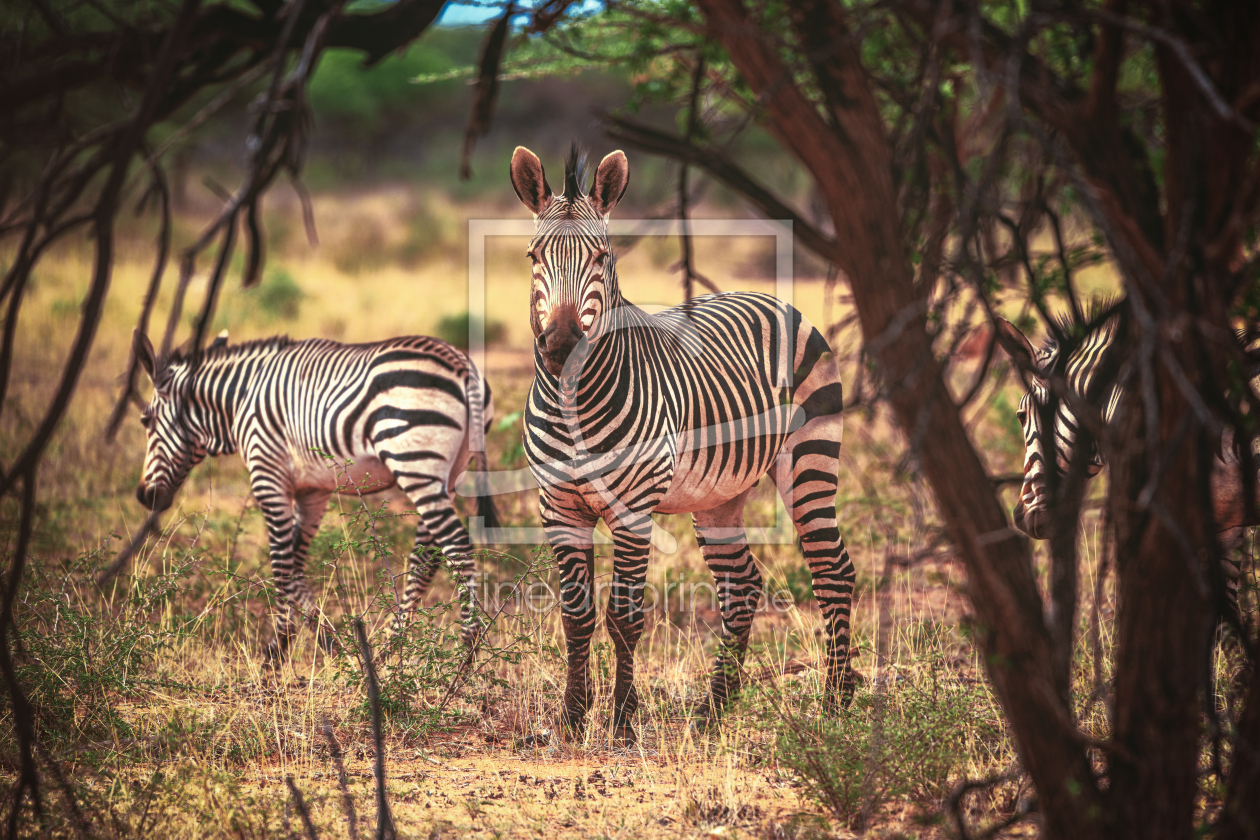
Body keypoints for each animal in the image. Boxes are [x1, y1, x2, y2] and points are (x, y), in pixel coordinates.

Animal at [131, 328, 498, 661]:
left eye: (145, 421)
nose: (144, 497)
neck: (240, 402)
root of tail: (460, 363)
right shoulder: (312, 491)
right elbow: (295, 561)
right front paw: (324, 638)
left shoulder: (268, 475)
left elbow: (280, 562)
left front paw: (282, 645)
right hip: (446, 474)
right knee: (426, 559)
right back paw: (390, 646)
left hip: (415, 463)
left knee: (458, 549)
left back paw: (465, 655)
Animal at [510, 144, 854, 741]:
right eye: (534, 256)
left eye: (602, 256)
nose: (561, 345)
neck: (573, 400)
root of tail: (774, 298)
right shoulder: (558, 506)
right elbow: (576, 615)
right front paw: (572, 719)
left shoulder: (631, 507)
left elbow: (624, 616)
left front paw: (623, 722)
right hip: (720, 495)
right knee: (742, 587)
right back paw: (715, 708)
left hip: (810, 459)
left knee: (833, 570)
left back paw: (834, 704)